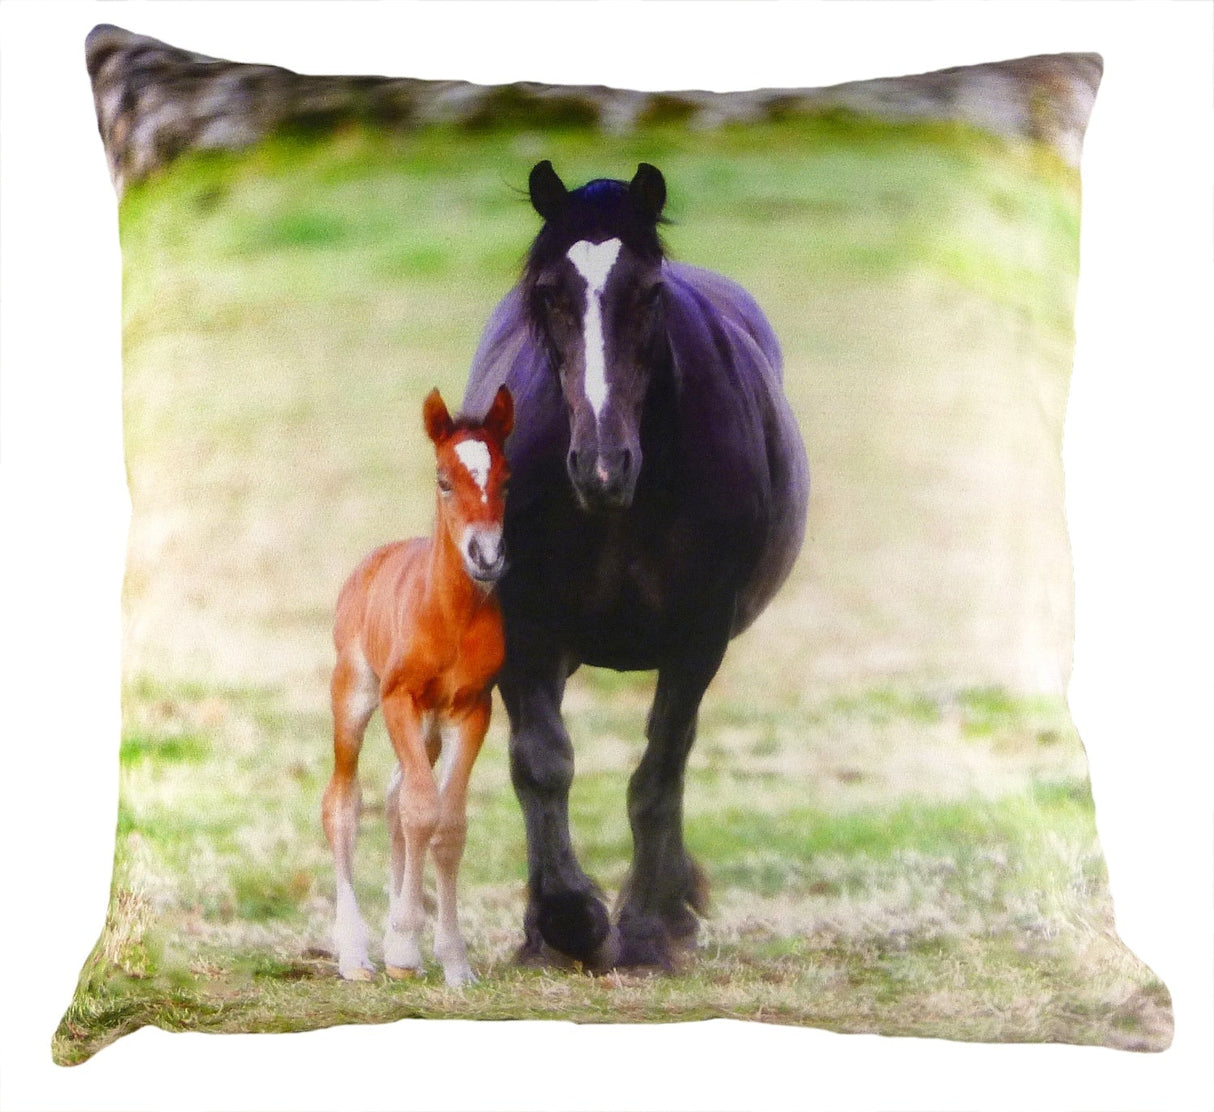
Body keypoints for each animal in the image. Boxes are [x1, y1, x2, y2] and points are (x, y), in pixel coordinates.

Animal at [321, 385, 513, 985]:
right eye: (443, 478)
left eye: (506, 480)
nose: (486, 556)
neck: (449, 613)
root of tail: (370, 563)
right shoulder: (398, 700)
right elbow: (421, 810)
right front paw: (405, 944)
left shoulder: (471, 709)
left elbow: (446, 823)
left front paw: (453, 960)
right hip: (354, 694)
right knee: (343, 802)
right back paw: (355, 953)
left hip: (427, 728)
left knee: (392, 796)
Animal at [462, 161, 810, 969]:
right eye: (548, 292)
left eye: (649, 292)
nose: (601, 465)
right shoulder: (523, 626)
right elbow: (541, 762)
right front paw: (565, 921)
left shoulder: (698, 634)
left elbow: (660, 770)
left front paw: (649, 927)